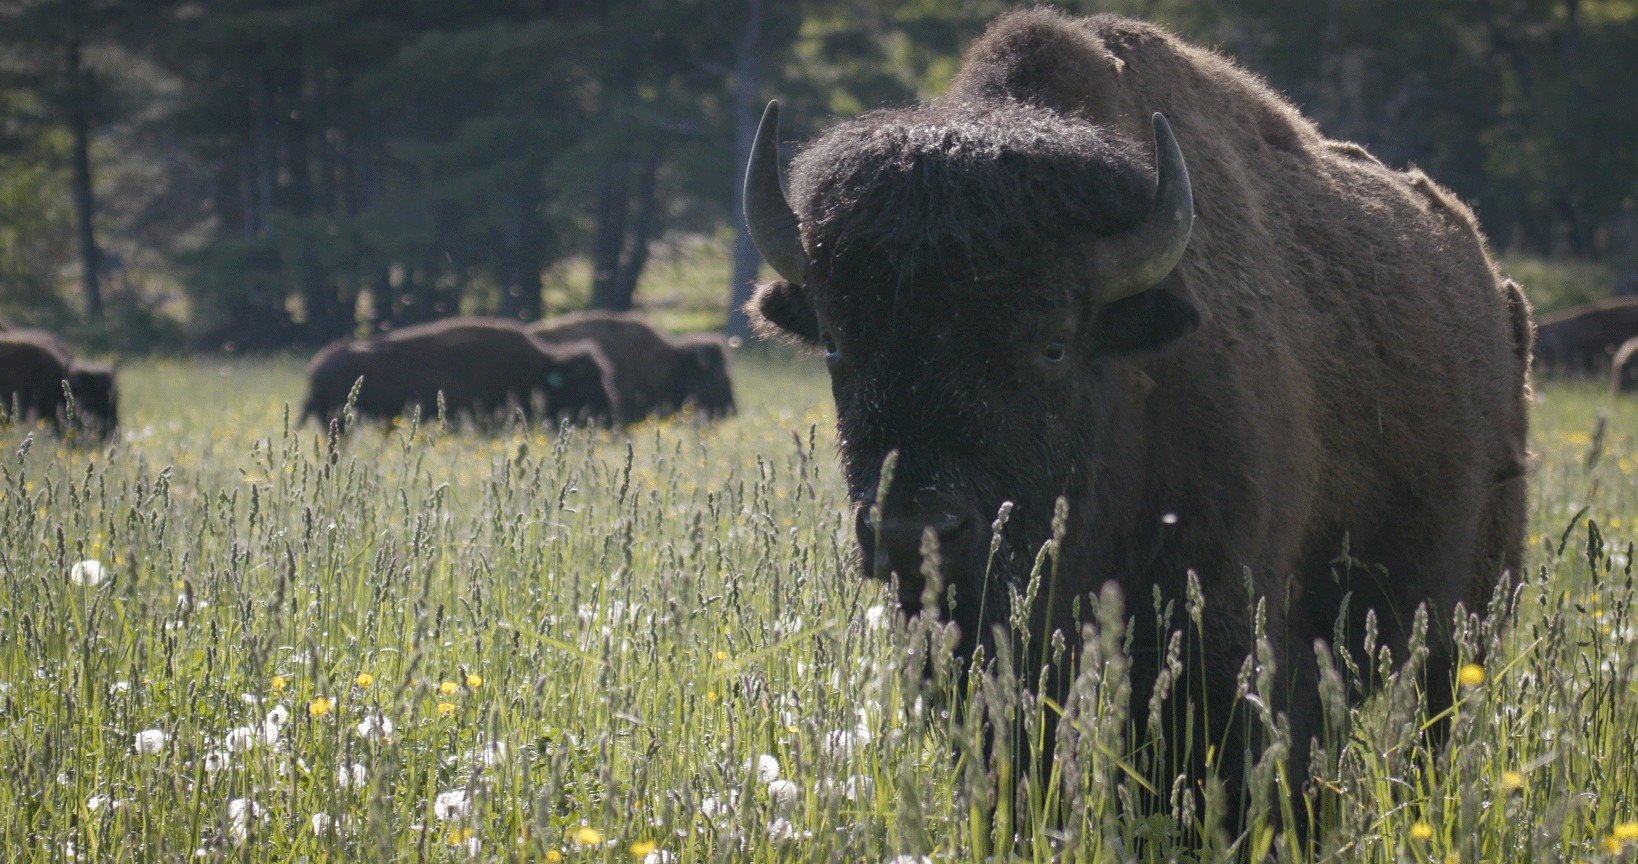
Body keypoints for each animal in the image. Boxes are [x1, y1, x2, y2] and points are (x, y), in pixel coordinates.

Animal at [744, 8, 1531, 826]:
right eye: (836, 341)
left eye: (1054, 343)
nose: (911, 531)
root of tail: (1490, 279)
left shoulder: (1229, 638)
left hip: (1462, 625)